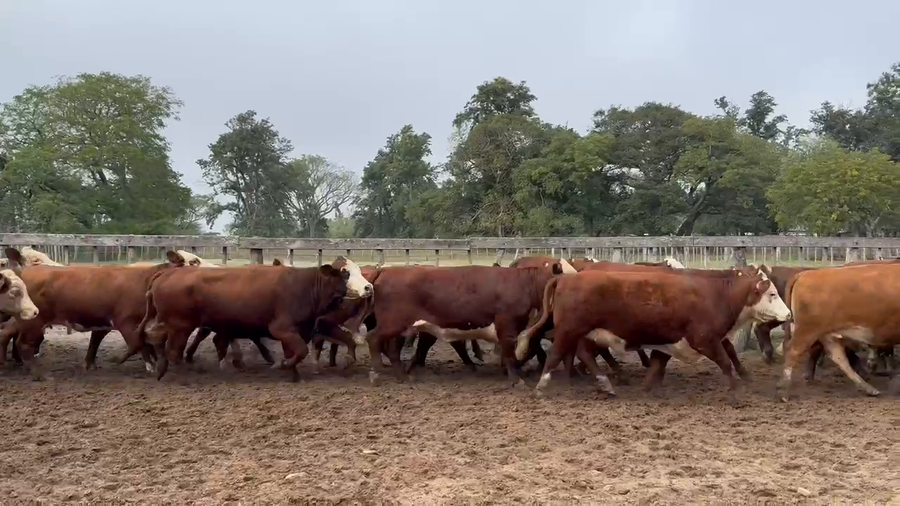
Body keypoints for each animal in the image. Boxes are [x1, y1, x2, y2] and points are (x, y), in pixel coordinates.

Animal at [0, 249, 192, 379]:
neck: (146, 281)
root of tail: (24, 271)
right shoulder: (126, 322)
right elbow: (139, 343)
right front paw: (149, 365)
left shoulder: (106, 322)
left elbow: (96, 341)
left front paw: (90, 364)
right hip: (32, 321)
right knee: (23, 344)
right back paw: (38, 372)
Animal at [137, 258, 373, 381]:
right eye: (345, 272)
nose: (368, 287)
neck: (307, 286)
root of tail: (167, 274)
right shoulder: (282, 328)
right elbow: (299, 351)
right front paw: (282, 365)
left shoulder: (299, 330)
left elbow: (295, 352)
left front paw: (293, 373)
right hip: (181, 325)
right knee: (173, 351)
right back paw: (190, 373)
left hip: (171, 324)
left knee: (156, 340)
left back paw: (161, 370)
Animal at [363, 264, 563, 384]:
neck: (523, 285)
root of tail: (386, 270)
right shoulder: (506, 327)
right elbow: (509, 355)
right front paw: (516, 380)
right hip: (392, 323)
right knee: (373, 339)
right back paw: (376, 373)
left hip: (401, 327)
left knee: (392, 348)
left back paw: (402, 376)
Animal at [516, 268, 791, 399]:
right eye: (772, 294)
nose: (788, 314)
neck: (717, 295)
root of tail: (566, 278)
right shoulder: (704, 340)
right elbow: (724, 361)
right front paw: (736, 391)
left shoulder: (671, 340)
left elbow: (658, 362)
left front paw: (649, 388)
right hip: (569, 330)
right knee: (556, 355)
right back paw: (542, 386)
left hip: (584, 332)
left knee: (585, 354)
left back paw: (605, 384)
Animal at [778, 263, 900, 399]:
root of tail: (805, 274)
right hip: (807, 331)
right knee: (792, 351)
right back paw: (783, 391)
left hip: (826, 334)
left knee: (839, 358)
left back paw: (869, 388)